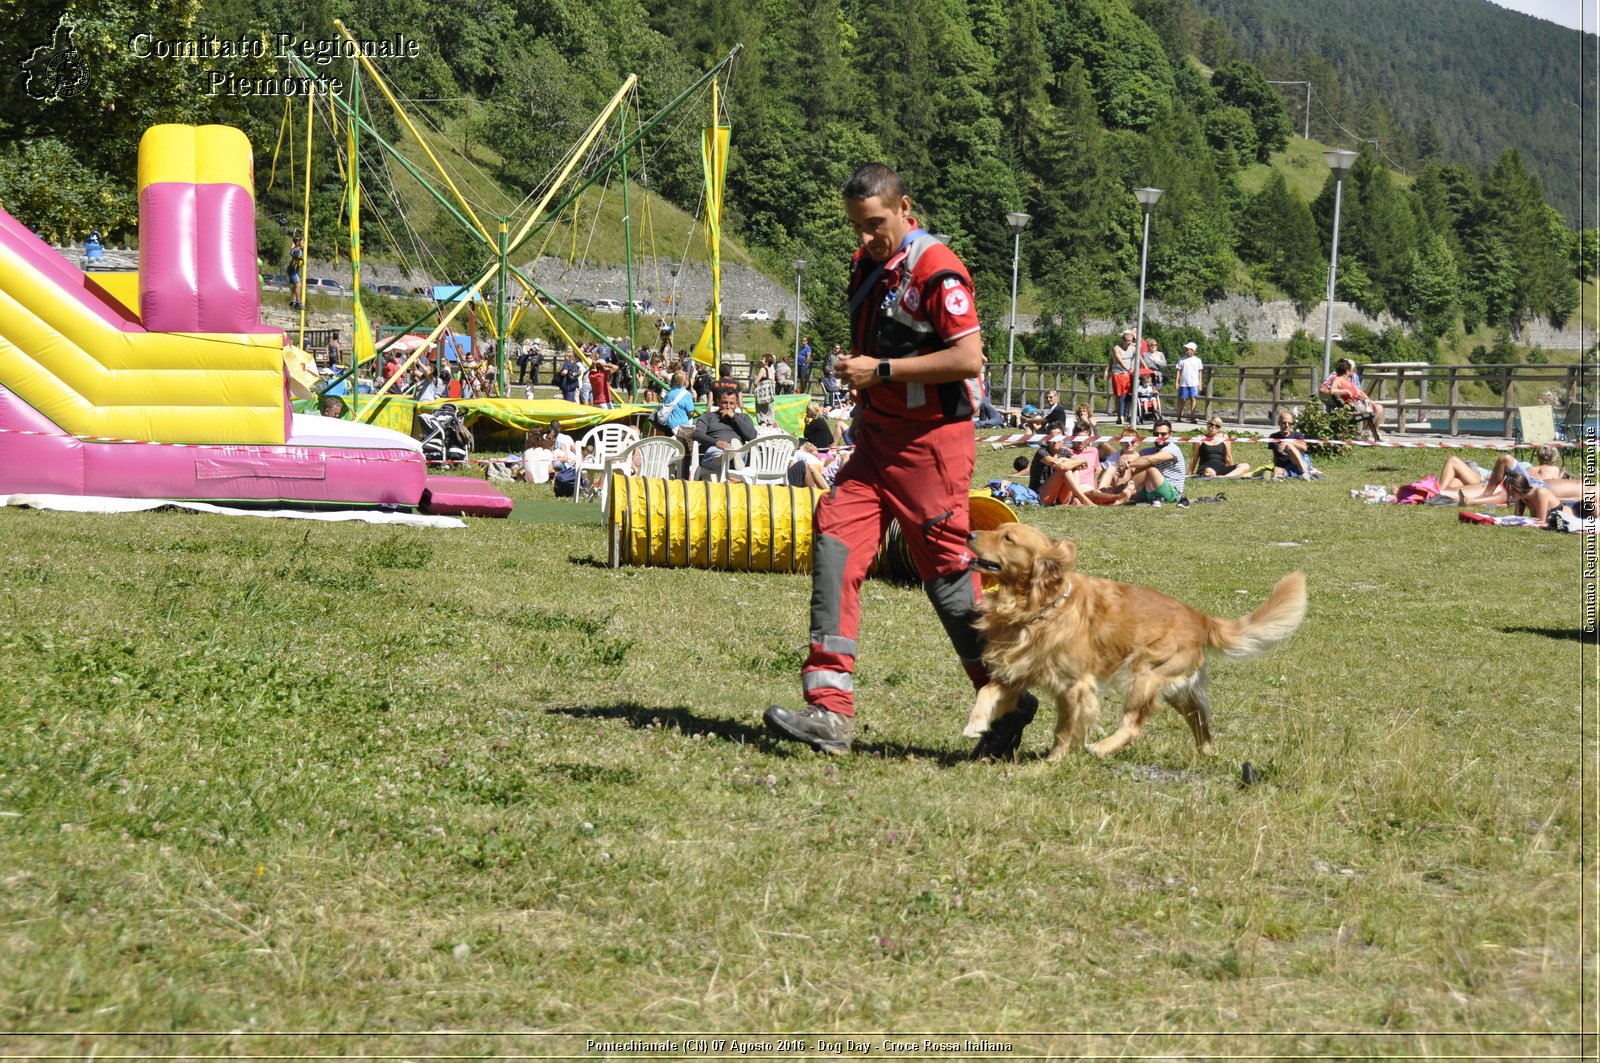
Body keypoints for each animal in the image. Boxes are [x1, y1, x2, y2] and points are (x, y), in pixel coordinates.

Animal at [966, 525, 1305, 758]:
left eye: (1008, 538)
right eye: (997, 530)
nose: (969, 533)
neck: (1038, 607)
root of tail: (1200, 617)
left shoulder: (1074, 687)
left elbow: (1064, 729)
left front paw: (1052, 761)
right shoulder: (1016, 670)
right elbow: (986, 690)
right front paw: (975, 724)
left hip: (1145, 676)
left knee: (1132, 727)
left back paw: (1101, 748)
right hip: (1177, 689)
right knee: (1201, 720)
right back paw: (1208, 753)